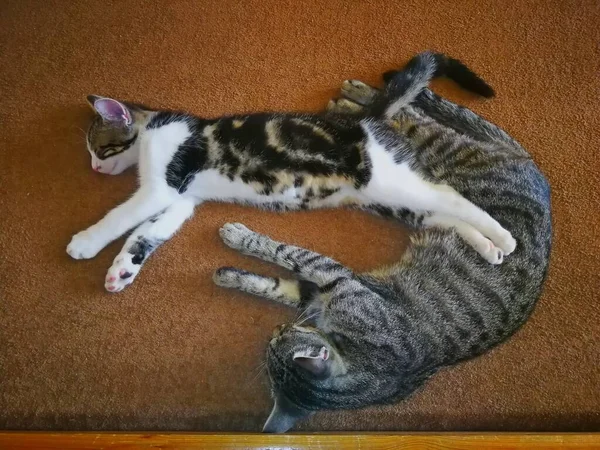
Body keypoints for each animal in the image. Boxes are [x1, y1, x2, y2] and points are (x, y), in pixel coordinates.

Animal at [68, 52, 512, 294]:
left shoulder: (163, 186)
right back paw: (487, 247)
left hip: (389, 182)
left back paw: (504, 238)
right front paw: (122, 270)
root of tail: (364, 119)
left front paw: (85, 242)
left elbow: (121, 217)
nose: (93, 167)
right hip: (387, 201)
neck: (153, 128)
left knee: (451, 196)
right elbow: (147, 234)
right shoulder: (183, 200)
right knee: (442, 214)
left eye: (99, 148)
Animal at [212, 61, 552, 430]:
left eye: (283, 338)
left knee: (413, 118)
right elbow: (274, 285)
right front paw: (230, 275)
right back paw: (355, 99)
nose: (276, 329)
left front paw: (239, 238)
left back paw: (354, 98)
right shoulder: (319, 294)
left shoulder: (339, 277)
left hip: (430, 158)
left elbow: (285, 254)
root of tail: (533, 169)